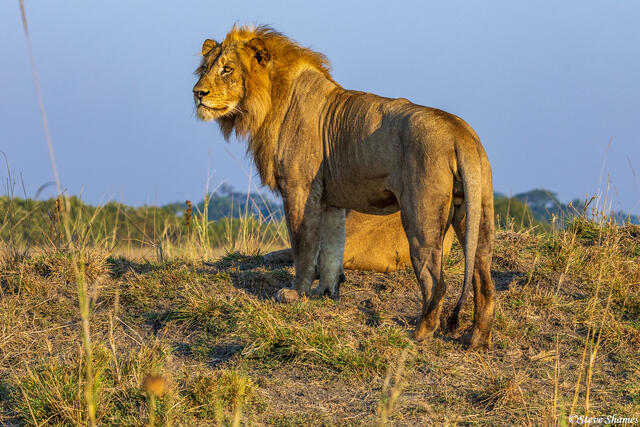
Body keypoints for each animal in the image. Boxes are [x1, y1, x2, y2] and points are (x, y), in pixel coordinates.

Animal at [193, 25, 495, 349]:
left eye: (227, 69)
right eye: (205, 68)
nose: (197, 93)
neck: (271, 101)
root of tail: (458, 132)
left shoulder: (300, 189)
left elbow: (303, 246)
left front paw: (296, 293)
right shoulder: (331, 201)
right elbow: (330, 249)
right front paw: (326, 292)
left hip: (420, 215)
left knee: (436, 281)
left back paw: (419, 333)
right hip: (476, 213)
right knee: (483, 280)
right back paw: (477, 339)